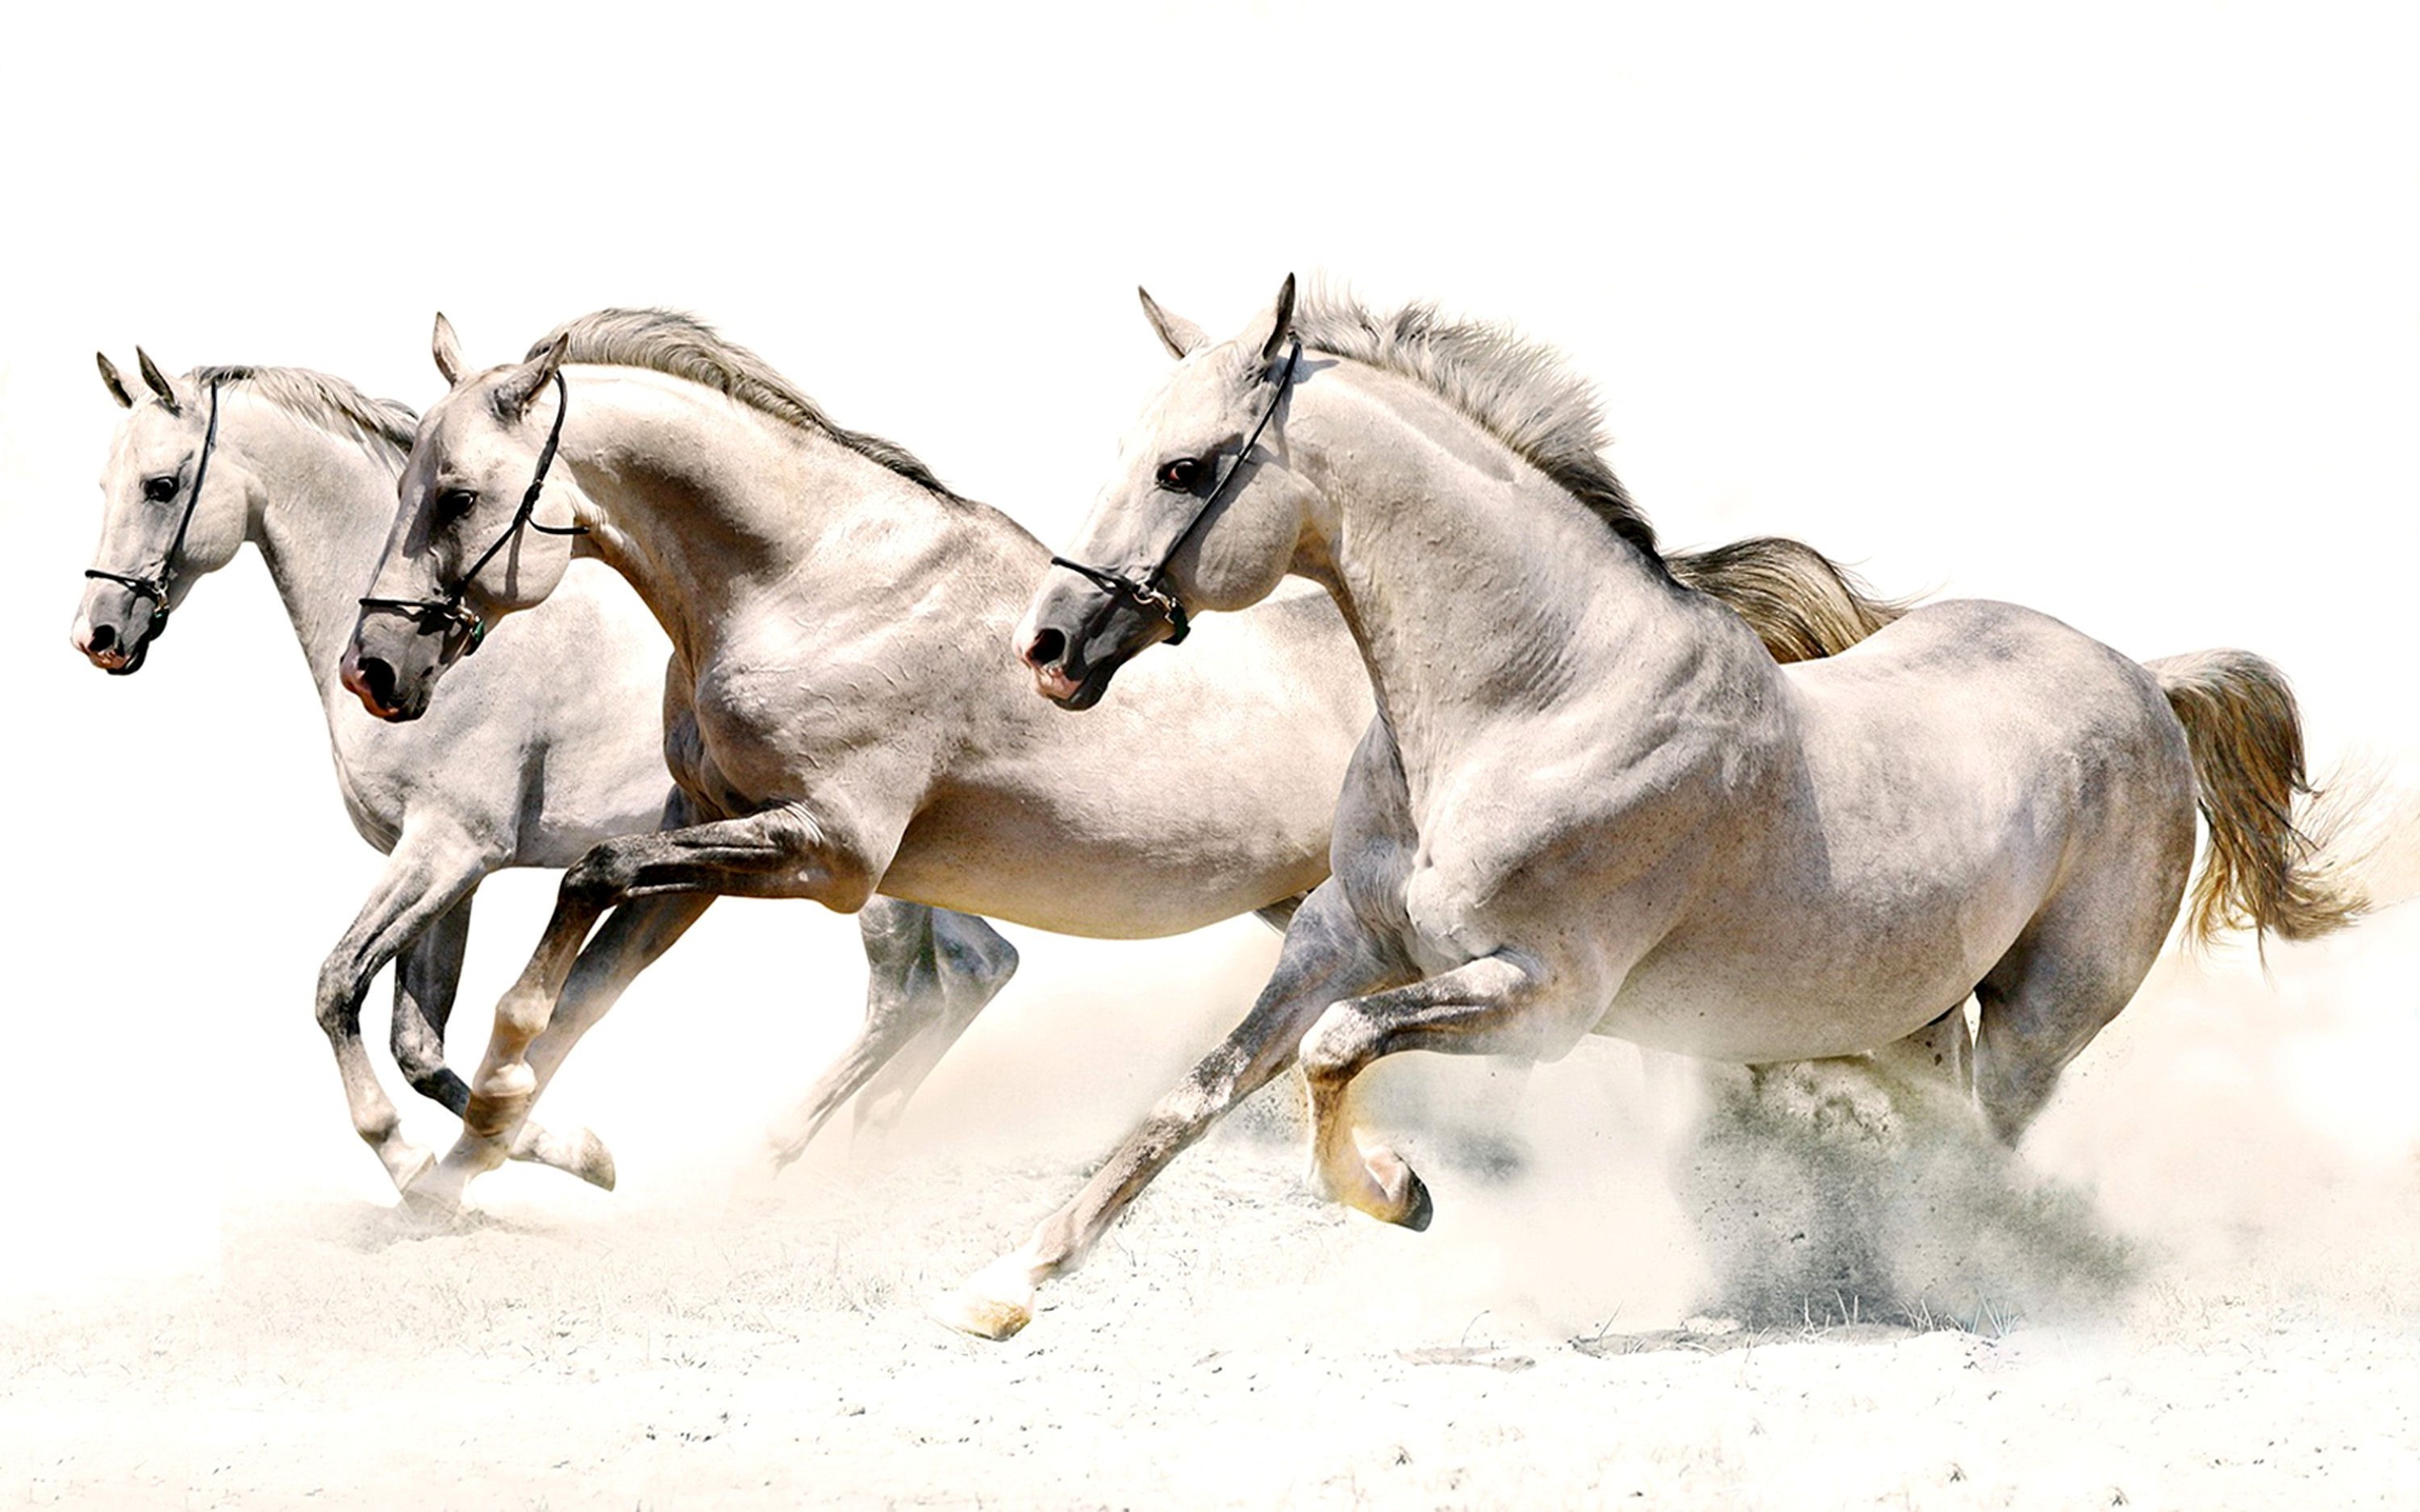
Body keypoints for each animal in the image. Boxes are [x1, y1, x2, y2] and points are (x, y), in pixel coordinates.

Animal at [68, 349, 1027, 1194]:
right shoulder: (449, 872)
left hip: (848, 869)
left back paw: (787, 1148)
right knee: (979, 967)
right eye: (107, 486)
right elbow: (420, 1044)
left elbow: (339, 987)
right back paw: (869, 1140)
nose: (99, 636)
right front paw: (551, 1152)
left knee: (908, 992)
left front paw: (421, 1164)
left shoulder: (448, 851)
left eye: (160, 485)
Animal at [341, 308, 1906, 1211]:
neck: (804, 578)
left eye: (457, 495)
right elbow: (579, 964)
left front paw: (499, 1119)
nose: (377, 669)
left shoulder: (830, 852)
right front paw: (489, 1159)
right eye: (411, 484)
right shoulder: (718, 840)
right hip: (1337, 918)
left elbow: (583, 888)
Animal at [940, 275, 2365, 1339]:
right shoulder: (1338, 935)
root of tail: (2144, 676)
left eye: (1185, 470)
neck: (1533, 696)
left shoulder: (1541, 1000)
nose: (1050, 646)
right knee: (1940, 1131)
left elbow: (1338, 1049)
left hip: (2039, 1019)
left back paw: (1954, 1281)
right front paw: (1001, 1289)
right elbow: (1200, 1090)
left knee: (1983, 1152)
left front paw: (1401, 1193)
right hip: (1903, 1014)